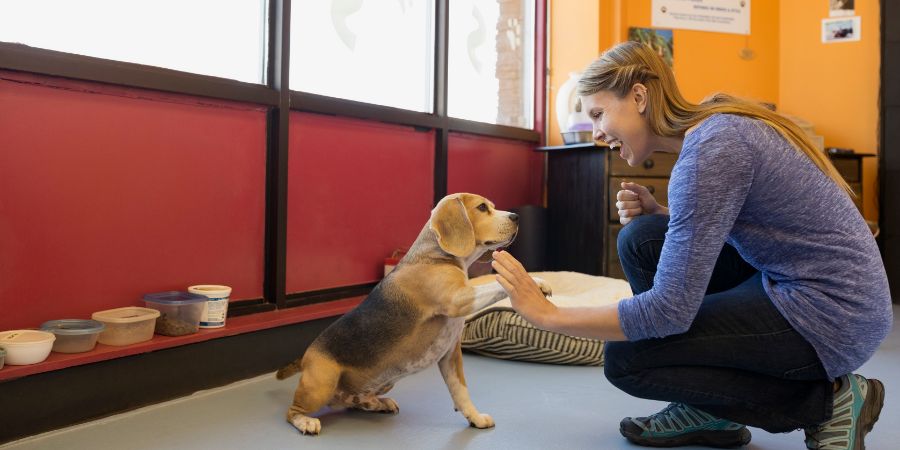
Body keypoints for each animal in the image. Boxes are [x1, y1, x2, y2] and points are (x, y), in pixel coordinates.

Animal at [278, 193, 552, 436]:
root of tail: (306, 357)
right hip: (321, 384)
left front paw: (475, 418)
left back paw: (375, 403)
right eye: (483, 207)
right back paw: (306, 421)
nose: (516, 216)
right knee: (292, 412)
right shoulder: (458, 299)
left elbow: (461, 391)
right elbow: (495, 282)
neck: (436, 255)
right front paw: (535, 282)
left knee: (353, 401)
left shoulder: (450, 354)